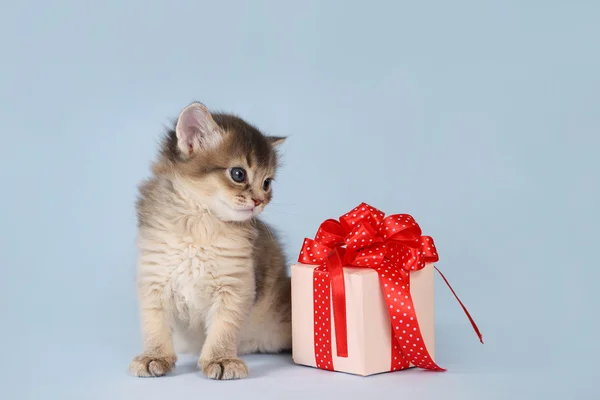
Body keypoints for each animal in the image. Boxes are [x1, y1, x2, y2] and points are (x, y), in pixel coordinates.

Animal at [129, 101, 292, 380]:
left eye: (267, 183)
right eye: (238, 174)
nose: (259, 201)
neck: (200, 223)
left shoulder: (235, 286)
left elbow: (223, 328)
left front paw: (221, 359)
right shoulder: (154, 279)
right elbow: (154, 324)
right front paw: (154, 356)